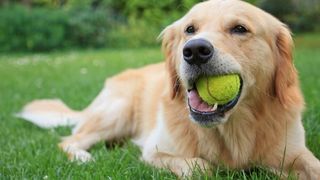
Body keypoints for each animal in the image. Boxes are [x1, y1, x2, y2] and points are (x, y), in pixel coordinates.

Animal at [18, 0, 318, 179]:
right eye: (190, 29)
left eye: (240, 28)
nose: (195, 50)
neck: (232, 129)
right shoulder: (155, 151)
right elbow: (200, 166)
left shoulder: (293, 150)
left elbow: (313, 165)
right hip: (117, 112)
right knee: (69, 140)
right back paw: (83, 157)